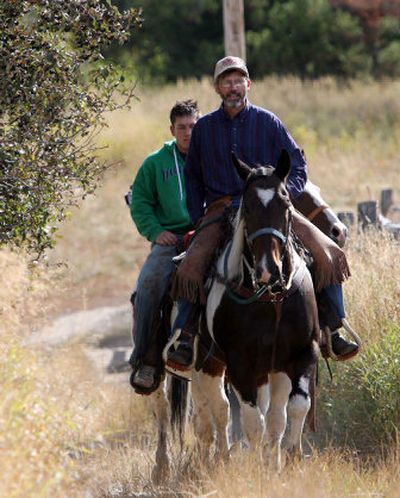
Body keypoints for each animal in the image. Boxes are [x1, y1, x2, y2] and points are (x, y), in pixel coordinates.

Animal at [192, 153, 320, 470]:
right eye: (247, 207)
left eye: (285, 203)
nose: (267, 269)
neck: (271, 299)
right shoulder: (240, 364)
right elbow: (253, 422)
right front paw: (259, 467)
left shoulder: (301, 353)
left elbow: (293, 409)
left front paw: (287, 458)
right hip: (207, 362)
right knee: (215, 410)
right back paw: (220, 457)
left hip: (269, 369)